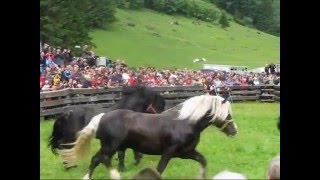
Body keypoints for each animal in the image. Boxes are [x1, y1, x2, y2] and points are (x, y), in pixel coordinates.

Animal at [57, 93, 238, 179]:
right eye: (227, 113)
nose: (234, 131)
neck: (185, 122)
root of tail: (101, 117)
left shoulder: (186, 152)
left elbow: (203, 161)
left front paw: (202, 176)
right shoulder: (169, 152)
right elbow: (159, 169)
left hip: (112, 147)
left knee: (102, 159)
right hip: (110, 146)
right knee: (98, 159)